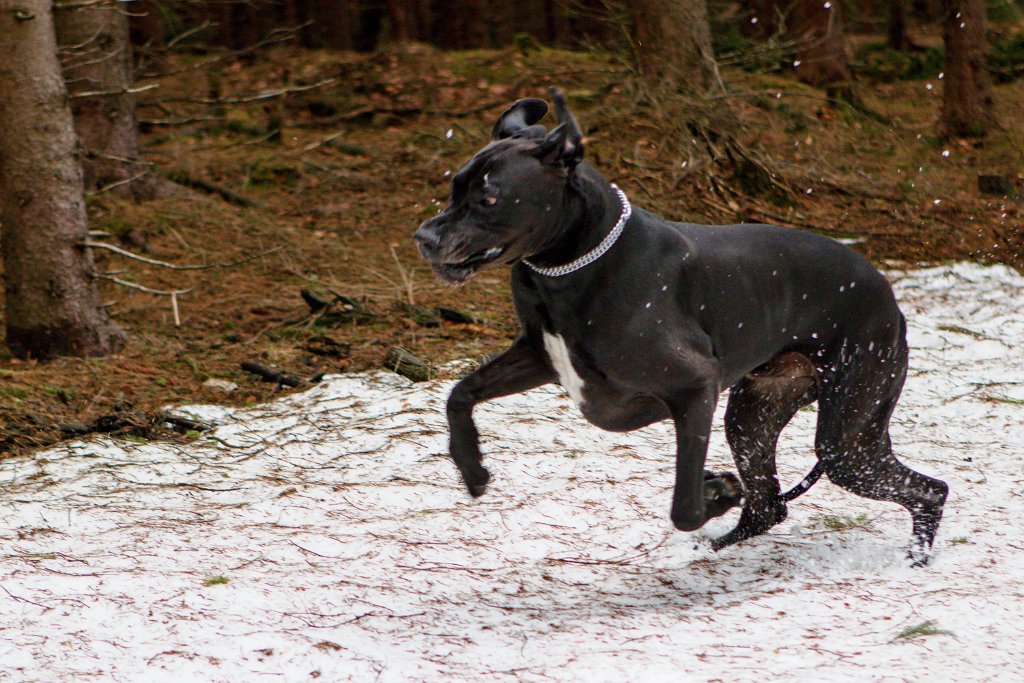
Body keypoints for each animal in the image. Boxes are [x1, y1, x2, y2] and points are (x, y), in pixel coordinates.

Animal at [411, 88, 946, 565]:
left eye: (488, 198)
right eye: (454, 187)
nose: (424, 237)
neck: (569, 265)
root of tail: (891, 300)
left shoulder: (694, 388)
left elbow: (684, 505)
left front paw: (716, 491)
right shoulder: (541, 356)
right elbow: (459, 393)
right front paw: (472, 468)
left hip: (844, 438)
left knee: (929, 489)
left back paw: (914, 561)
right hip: (753, 417)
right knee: (768, 505)